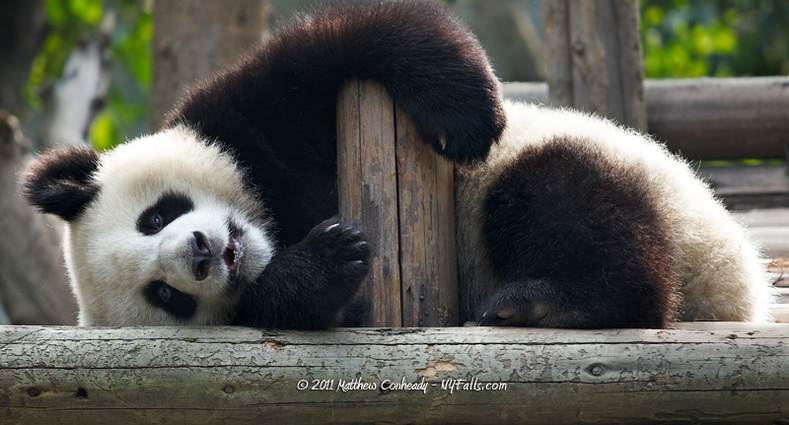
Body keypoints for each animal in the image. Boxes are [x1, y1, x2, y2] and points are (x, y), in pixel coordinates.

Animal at [20, 0, 768, 328]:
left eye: (156, 216)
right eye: (167, 296)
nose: (205, 251)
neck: (271, 220)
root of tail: (739, 294)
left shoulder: (242, 122)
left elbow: (338, 49)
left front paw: (465, 114)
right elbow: (292, 304)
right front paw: (327, 261)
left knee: (555, 193)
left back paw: (545, 300)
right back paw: (549, 305)